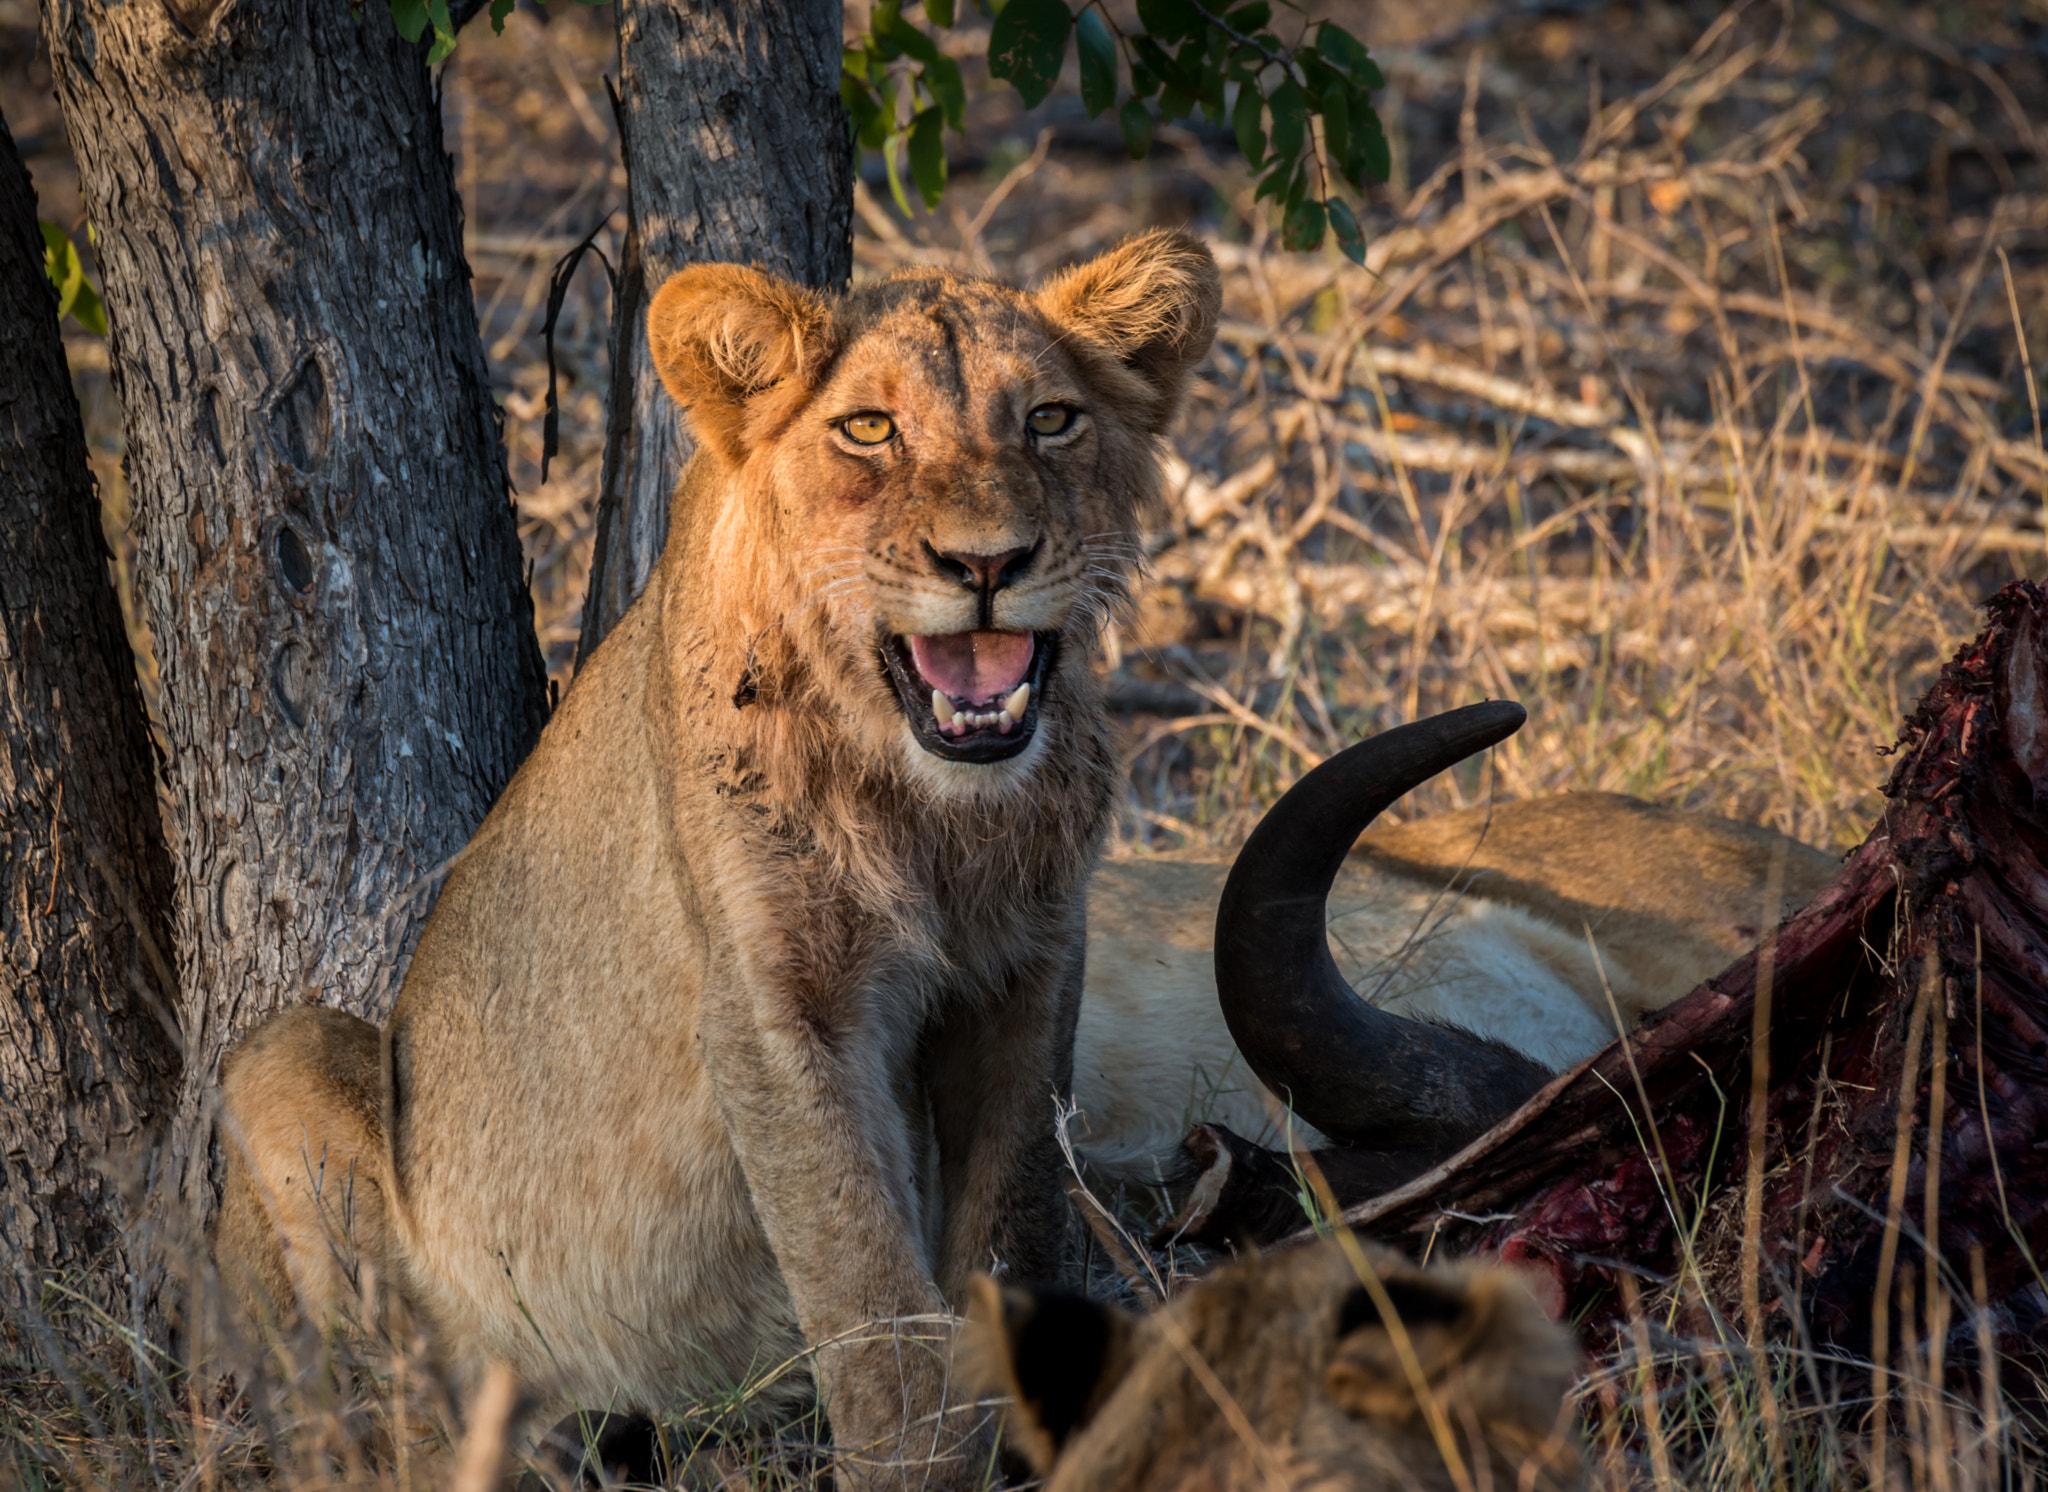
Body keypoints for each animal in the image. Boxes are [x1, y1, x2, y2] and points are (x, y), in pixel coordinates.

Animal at [216, 227, 1220, 1481]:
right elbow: (860, 1276)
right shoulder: (769, 1003)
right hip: (282, 1062)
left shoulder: (1028, 966)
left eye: (1048, 419)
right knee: (356, 1395)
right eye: (868, 429)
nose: (986, 562)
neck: (934, 811)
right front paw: (918, 1463)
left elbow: (1010, 1207)